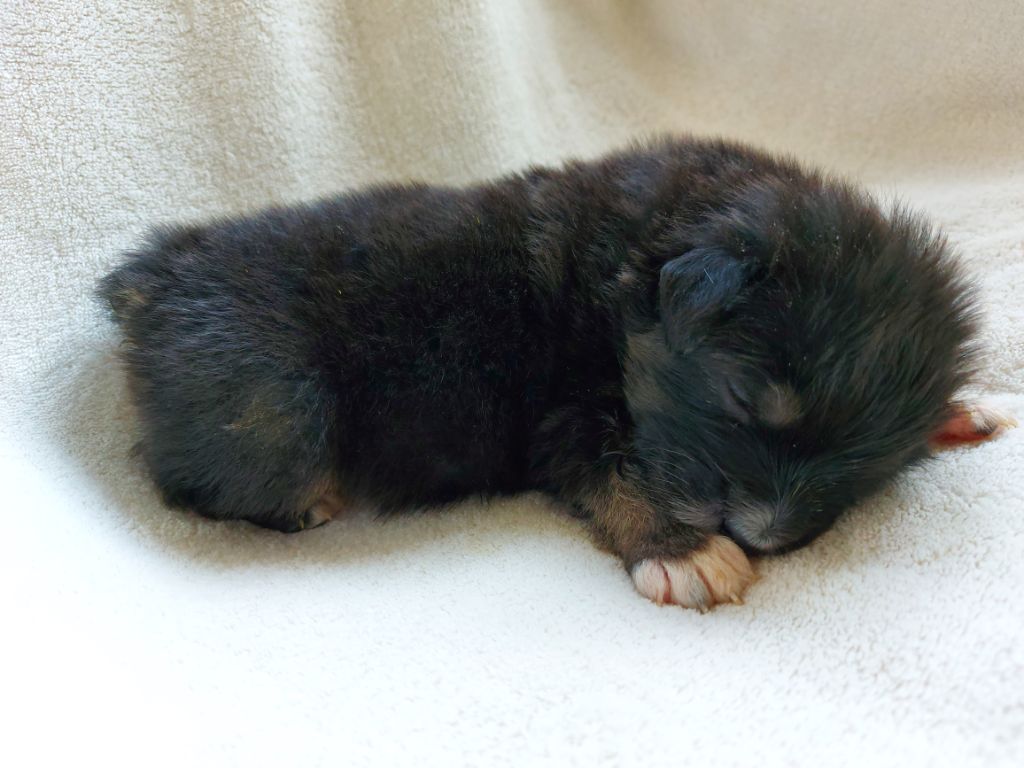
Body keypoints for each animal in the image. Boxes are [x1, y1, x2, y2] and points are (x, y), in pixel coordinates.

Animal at [97, 136, 1013, 610]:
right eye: (742, 397)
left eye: (867, 470)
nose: (762, 534)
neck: (627, 267)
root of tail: (151, 276)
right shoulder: (567, 415)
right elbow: (620, 474)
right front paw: (686, 551)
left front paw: (961, 413)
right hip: (271, 408)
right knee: (185, 477)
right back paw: (308, 502)